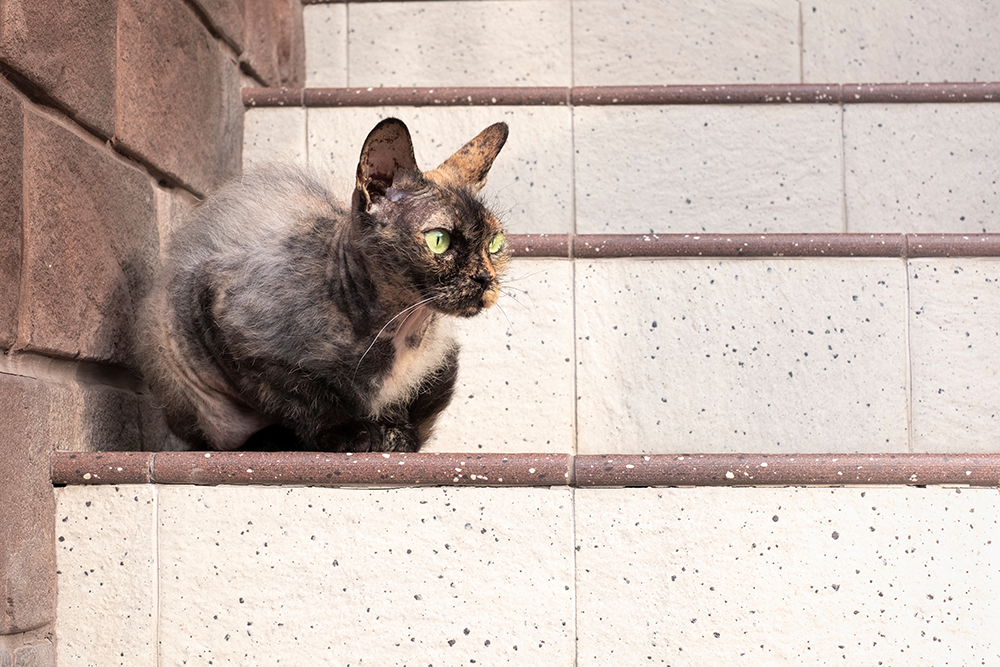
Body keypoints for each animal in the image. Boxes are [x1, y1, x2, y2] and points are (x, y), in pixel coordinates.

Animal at [138, 118, 512, 454]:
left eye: (495, 243)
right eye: (439, 240)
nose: (485, 278)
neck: (398, 329)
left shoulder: (437, 364)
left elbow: (401, 404)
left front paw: (394, 434)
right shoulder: (227, 323)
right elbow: (304, 396)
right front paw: (350, 434)